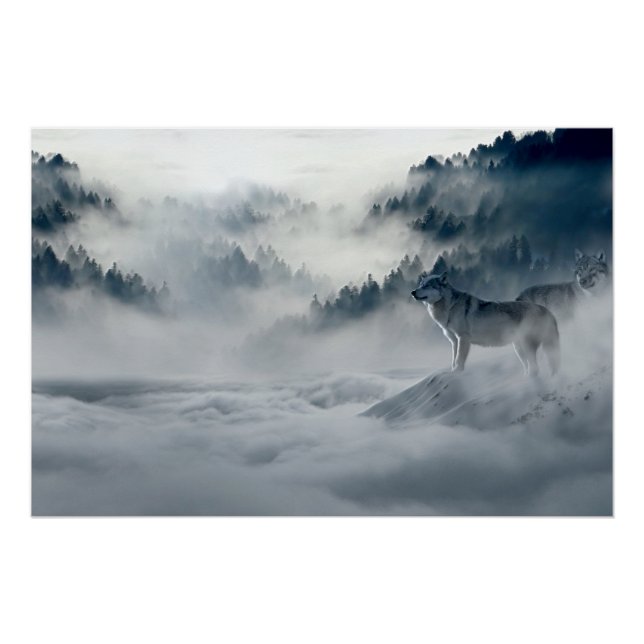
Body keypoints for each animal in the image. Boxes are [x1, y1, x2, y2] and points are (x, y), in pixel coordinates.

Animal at [411, 272, 560, 375]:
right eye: (420, 285)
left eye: (427, 286)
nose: (412, 292)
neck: (449, 307)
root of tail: (547, 310)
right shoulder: (454, 341)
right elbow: (453, 359)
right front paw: (452, 371)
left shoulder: (463, 338)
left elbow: (459, 360)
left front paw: (457, 373)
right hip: (519, 349)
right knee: (531, 367)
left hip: (526, 346)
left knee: (535, 368)